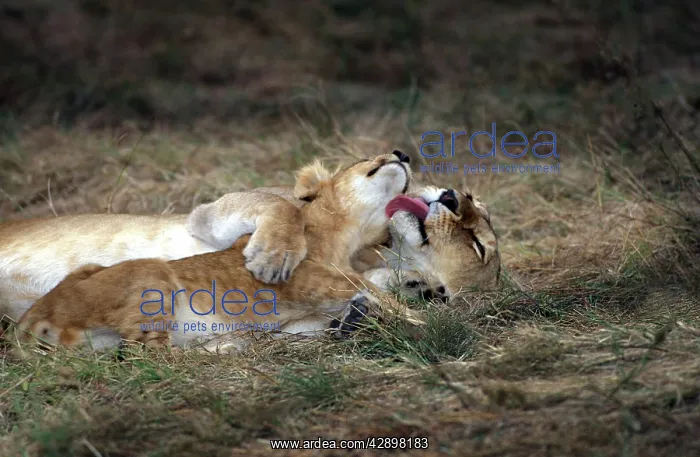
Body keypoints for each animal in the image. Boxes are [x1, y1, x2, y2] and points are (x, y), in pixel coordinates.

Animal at [9, 151, 423, 354]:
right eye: (367, 158)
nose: (402, 153)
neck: (346, 240)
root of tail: (31, 320)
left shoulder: (304, 315)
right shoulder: (307, 279)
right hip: (153, 275)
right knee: (148, 354)